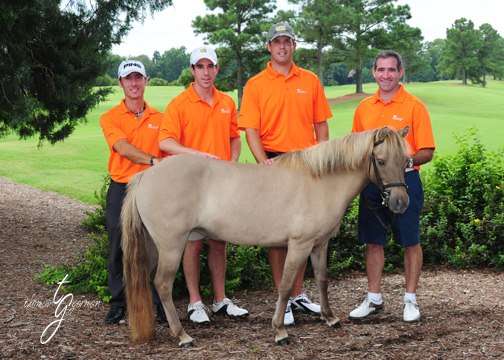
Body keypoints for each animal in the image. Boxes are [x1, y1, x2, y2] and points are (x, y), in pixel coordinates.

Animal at [121, 126, 410, 346]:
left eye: (405, 160)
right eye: (381, 161)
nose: (400, 202)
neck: (319, 182)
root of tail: (146, 175)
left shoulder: (320, 245)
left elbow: (322, 279)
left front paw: (329, 318)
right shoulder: (299, 245)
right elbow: (285, 284)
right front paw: (280, 331)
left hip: (156, 246)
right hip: (171, 246)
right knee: (162, 285)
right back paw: (182, 336)